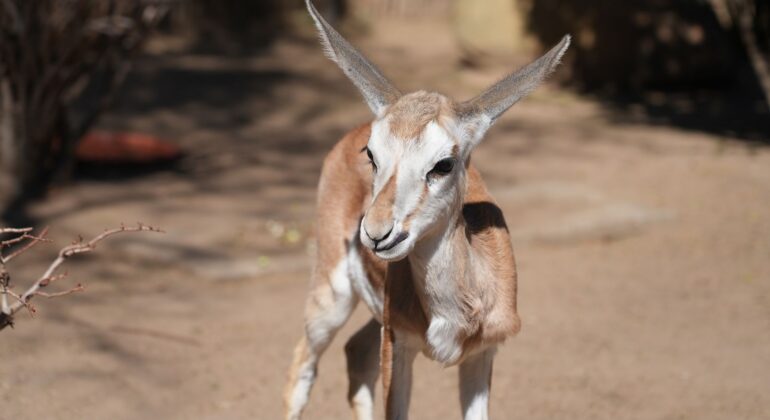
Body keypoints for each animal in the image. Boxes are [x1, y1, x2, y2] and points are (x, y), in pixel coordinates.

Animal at [285, 2, 570, 419]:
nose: (376, 233)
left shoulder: (481, 355)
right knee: (303, 364)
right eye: (371, 154)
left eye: (444, 164)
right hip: (331, 297)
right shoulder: (399, 345)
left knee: (356, 352)